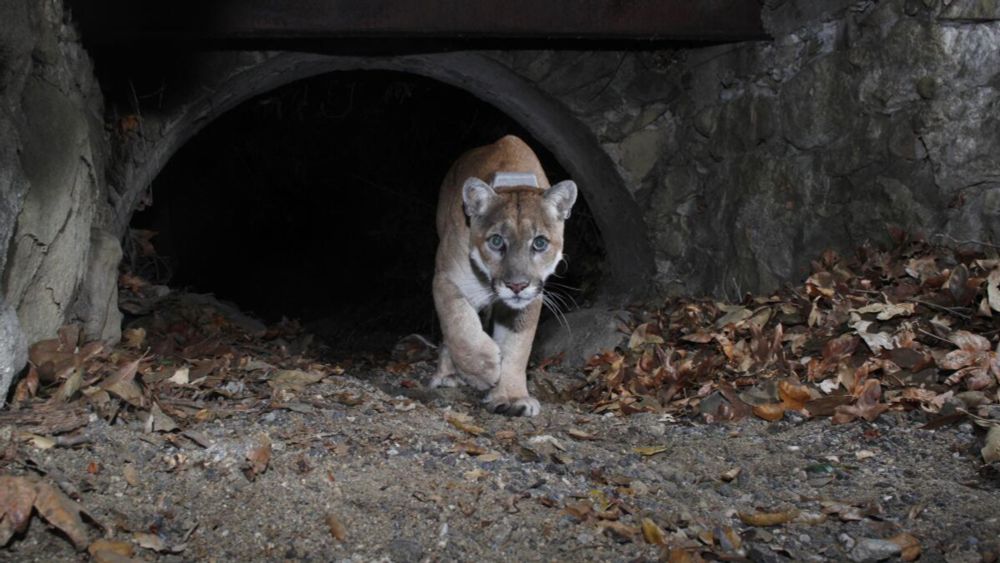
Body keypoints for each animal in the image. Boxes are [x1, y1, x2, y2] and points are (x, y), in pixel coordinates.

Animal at [430, 135, 580, 418]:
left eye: (540, 243)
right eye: (497, 241)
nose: (516, 285)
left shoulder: (531, 298)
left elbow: (517, 346)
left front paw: (511, 397)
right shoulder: (446, 279)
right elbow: (459, 323)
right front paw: (483, 369)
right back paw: (447, 374)